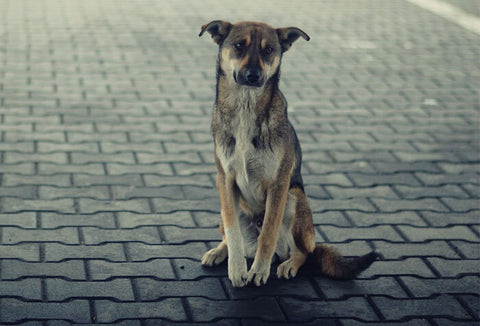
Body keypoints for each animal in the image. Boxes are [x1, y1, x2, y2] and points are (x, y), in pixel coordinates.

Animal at [199, 20, 378, 286]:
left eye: (268, 50)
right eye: (239, 46)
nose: (253, 76)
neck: (245, 107)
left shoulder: (279, 184)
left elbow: (268, 233)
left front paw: (259, 271)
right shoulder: (225, 180)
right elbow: (233, 233)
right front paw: (237, 268)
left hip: (295, 199)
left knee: (303, 252)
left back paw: (288, 264)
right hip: (228, 208)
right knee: (230, 235)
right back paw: (219, 251)